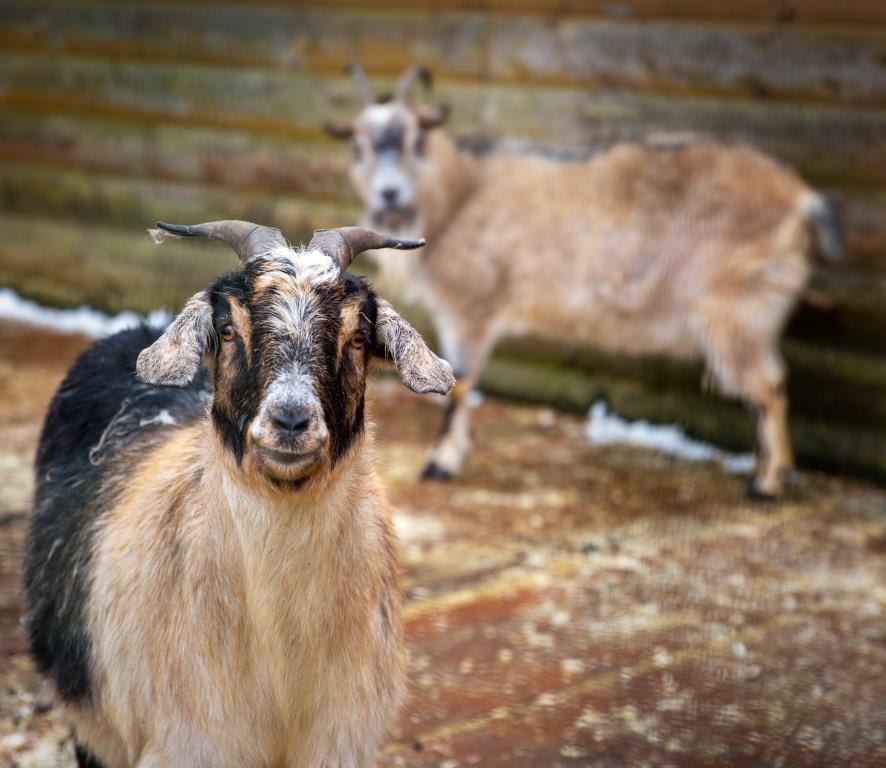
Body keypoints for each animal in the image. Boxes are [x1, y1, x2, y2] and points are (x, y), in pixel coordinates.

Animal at [328, 66, 848, 498]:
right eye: (357, 145)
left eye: (417, 139)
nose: (388, 192)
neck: (456, 196)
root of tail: (803, 201)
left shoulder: (471, 304)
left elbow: (460, 382)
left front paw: (441, 462)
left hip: (737, 307)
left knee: (768, 386)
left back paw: (767, 482)